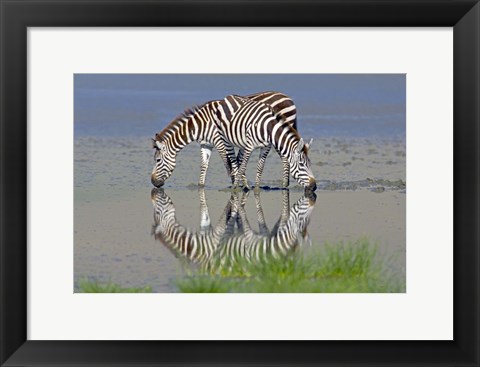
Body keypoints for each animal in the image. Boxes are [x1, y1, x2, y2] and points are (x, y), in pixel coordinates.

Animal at [152, 91, 298, 188]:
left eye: (157, 160)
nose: (153, 182)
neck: (201, 124)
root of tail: (288, 97)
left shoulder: (220, 141)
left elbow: (229, 164)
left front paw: (239, 185)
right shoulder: (206, 145)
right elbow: (204, 166)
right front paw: (200, 186)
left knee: (286, 157)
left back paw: (284, 185)